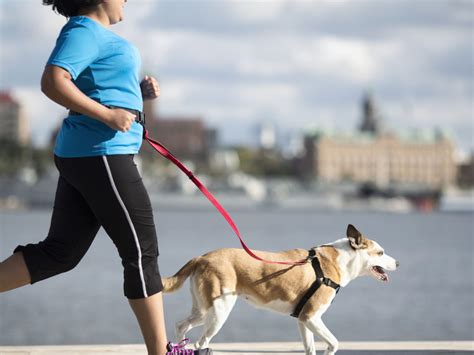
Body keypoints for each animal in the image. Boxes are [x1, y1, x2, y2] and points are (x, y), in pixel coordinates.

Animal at [161, 224, 398, 354]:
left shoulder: (303, 320)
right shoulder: (312, 317)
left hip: (204, 309)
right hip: (219, 311)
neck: (337, 261)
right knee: (201, 342)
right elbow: (334, 343)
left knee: (182, 325)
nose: (398, 263)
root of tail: (201, 257)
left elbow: (310, 349)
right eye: (380, 252)